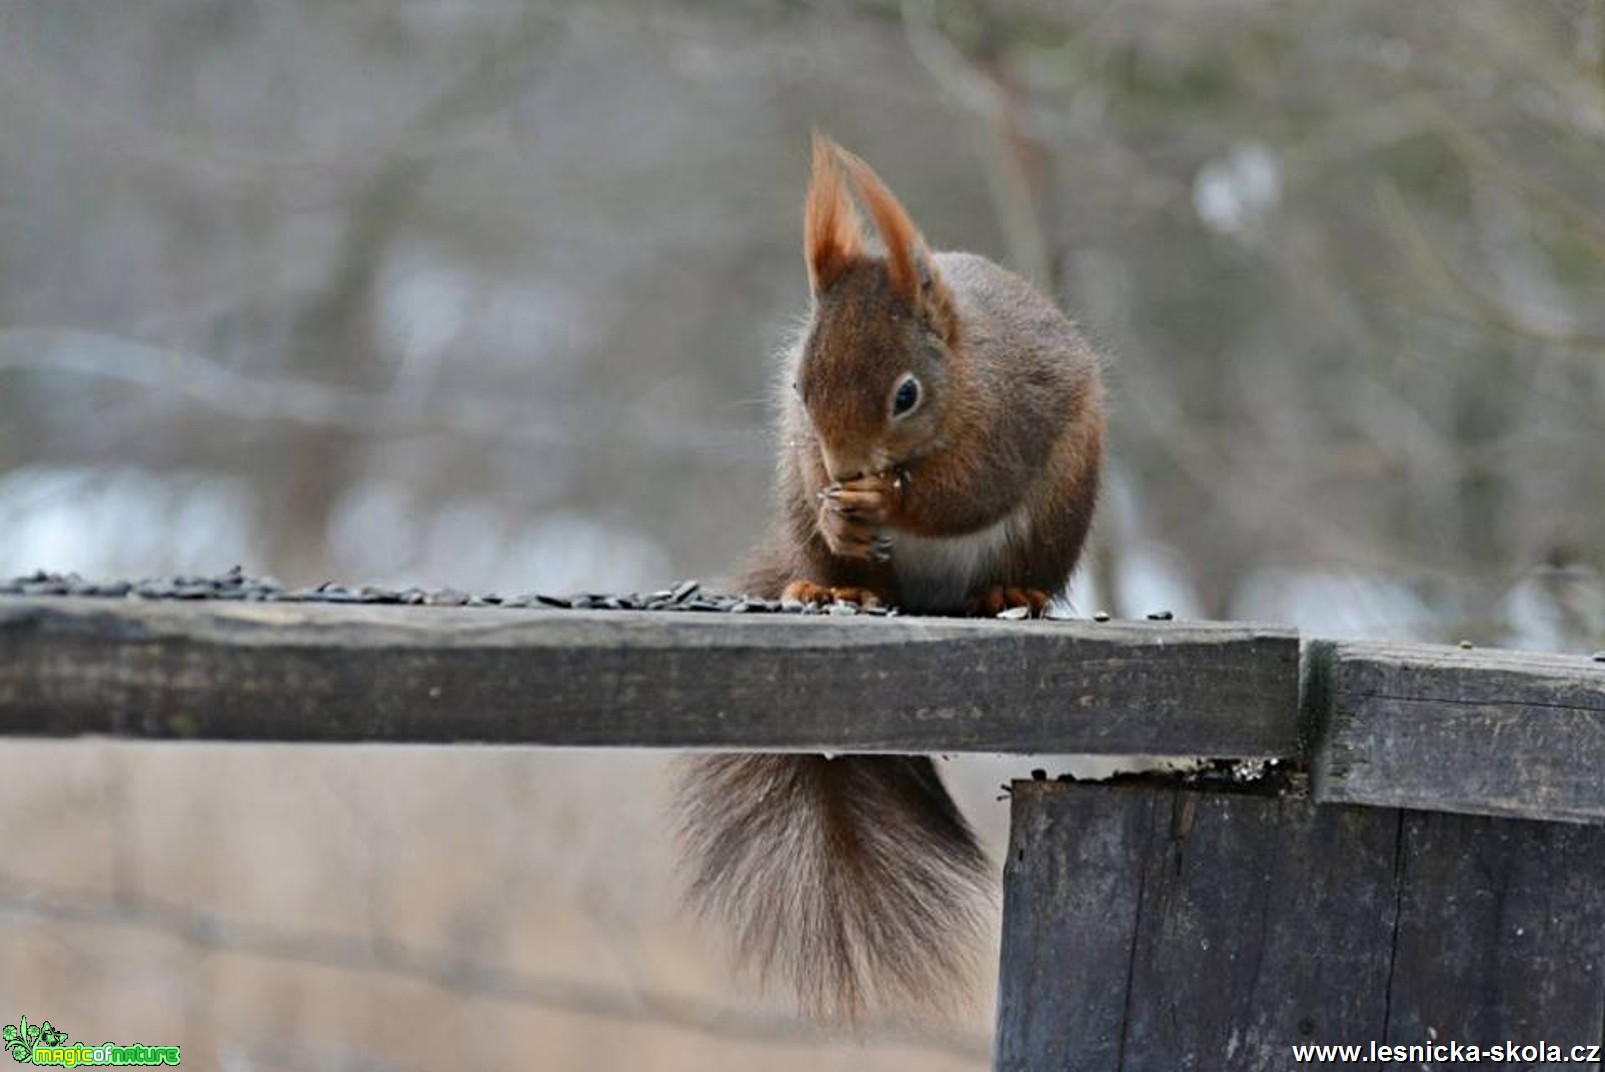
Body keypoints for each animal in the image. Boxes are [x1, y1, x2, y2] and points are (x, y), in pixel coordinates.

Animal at [667, 134, 1104, 1020]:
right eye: (798, 386)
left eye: (905, 394)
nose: (843, 471)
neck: (963, 370)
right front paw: (843, 508)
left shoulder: (1009, 416)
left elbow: (966, 488)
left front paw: (885, 497)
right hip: (800, 519)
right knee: (838, 569)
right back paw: (835, 587)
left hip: (1057, 507)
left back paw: (1005, 593)